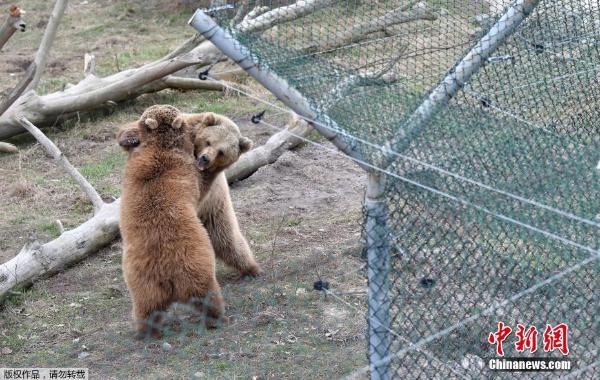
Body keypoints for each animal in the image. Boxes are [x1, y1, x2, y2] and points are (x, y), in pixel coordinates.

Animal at [118, 111, 262, 278]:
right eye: (209, 141)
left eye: (222, 152)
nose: (205, 158)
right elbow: (131, 129)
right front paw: (131, 138)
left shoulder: (208, 186)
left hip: (216, 208)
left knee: (226, 237)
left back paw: (252, 267)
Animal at [119, 104, 225, 338]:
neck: (160, 145)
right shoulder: (185, 165)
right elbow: (200, 185)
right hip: (195, 266)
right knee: (207, 293)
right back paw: (217, 316)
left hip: (142, 284)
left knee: (146, 309)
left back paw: (145, 332)